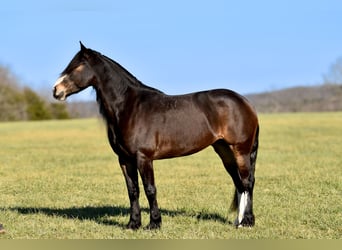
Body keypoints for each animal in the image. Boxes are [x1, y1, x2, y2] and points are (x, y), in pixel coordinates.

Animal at [52, 42, 260, 229]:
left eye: (78, 66)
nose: (56, 90)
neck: (129, 107)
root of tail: (245, 102)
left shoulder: (143, 158)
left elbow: (150, 189)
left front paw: (154, 223)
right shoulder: (125, 159)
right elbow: (133, 191)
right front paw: (133, 224)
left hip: (240, 150)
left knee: (247, 182)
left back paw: (247, 222)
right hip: (224, 150)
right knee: (239, 183)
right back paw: (238, 222)